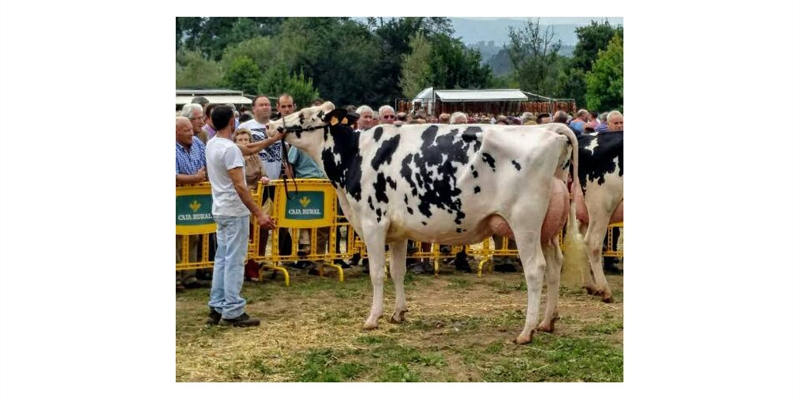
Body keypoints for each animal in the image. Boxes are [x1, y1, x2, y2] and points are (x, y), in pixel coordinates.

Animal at [268, 103, 576, 344]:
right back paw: (547, 322)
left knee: (535, 270)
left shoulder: (373, 223)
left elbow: (377, 274)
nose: (271, 124)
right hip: (547, 230)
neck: (355, 155)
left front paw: (373, 318)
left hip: (525, 224)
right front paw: (398, 313)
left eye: (305, 114)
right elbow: (398, 272)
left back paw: (526, 331)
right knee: (555, 266)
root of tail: (551, 131)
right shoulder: (398, 232)